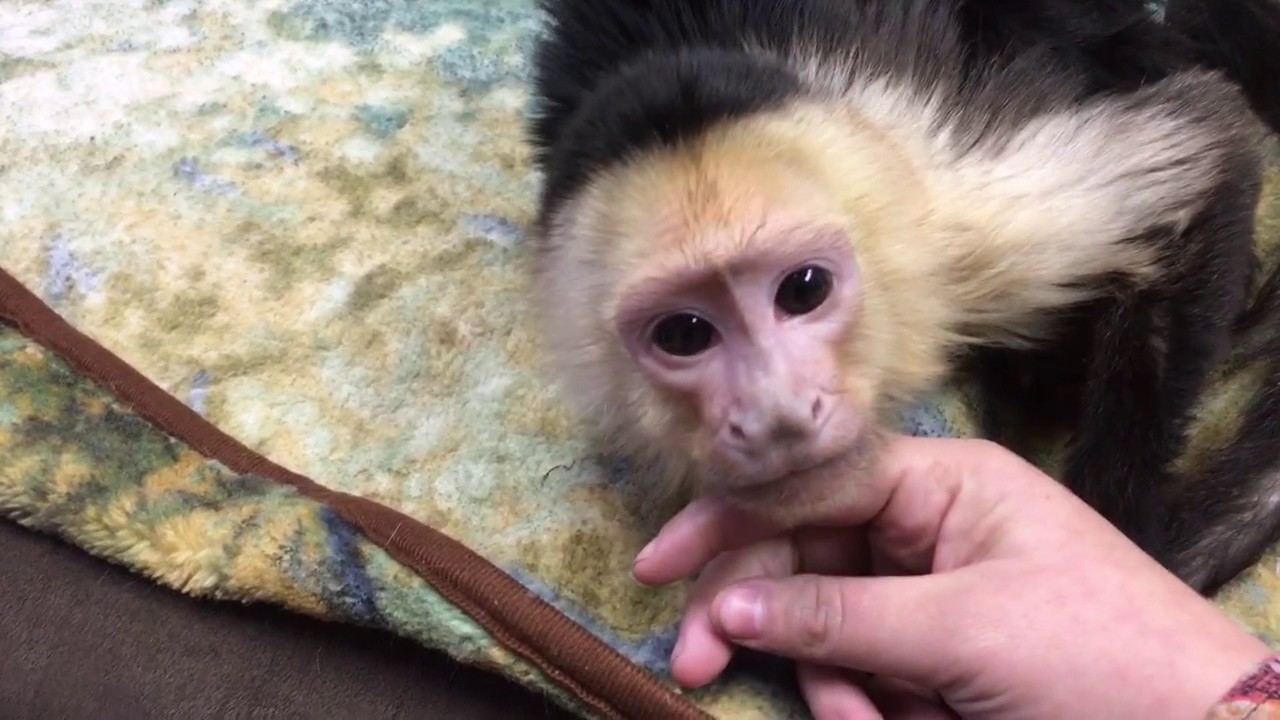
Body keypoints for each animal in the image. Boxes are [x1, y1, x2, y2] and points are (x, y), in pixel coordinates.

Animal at [522, 0, 1280, 595]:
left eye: (804, 290)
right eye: (685, 334)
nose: (778, 416)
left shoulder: (958, 226)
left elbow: (1212, 140)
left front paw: (1115, 552)